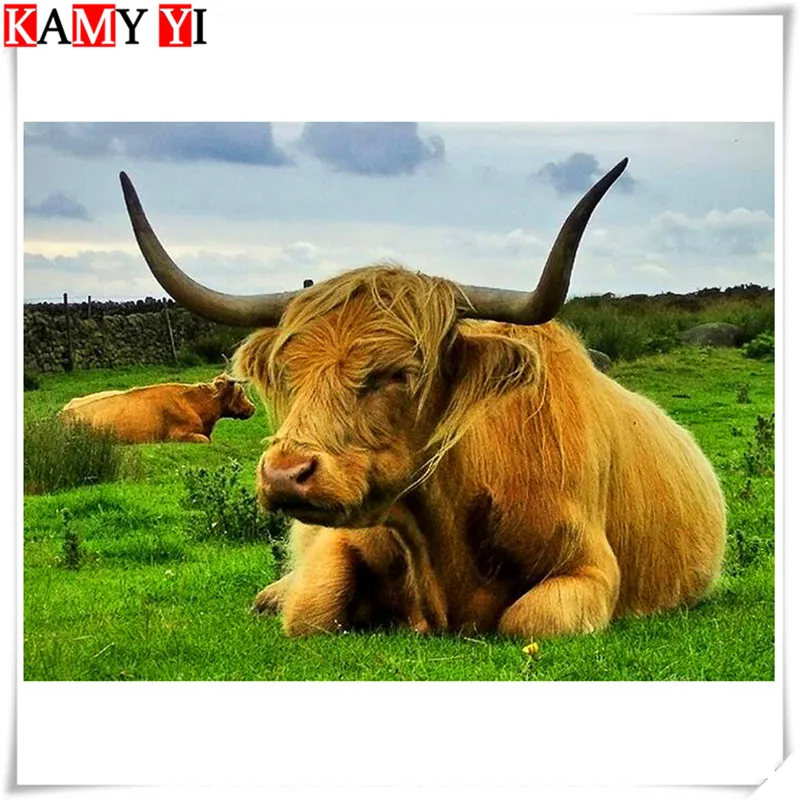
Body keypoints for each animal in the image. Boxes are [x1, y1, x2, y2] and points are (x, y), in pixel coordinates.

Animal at [119, 159, 726, 638]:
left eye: (398, 373)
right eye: (289, 371)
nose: (285, 475)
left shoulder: (590, 569)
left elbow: (530, 620)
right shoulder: (341, 544)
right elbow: (312, 610)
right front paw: (284, 600)